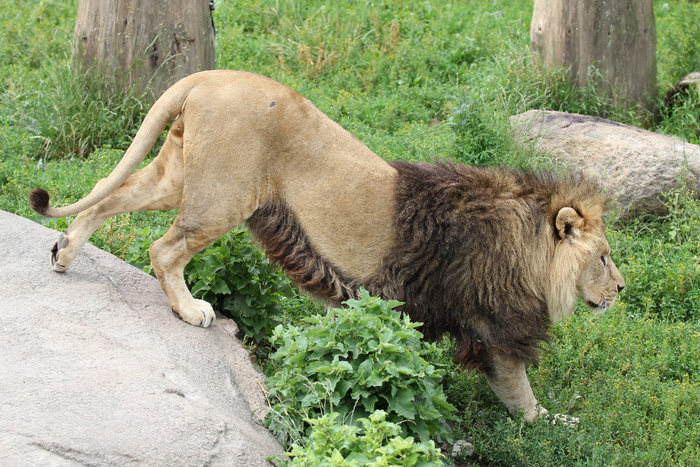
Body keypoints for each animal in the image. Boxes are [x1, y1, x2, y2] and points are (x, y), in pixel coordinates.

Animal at [30, 70, 628, 424]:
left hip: (181, 178)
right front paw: (554, 427)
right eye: (602, 258)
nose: (622, 288)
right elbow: (521, 394)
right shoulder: (495, 327)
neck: (528, 245)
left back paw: (65, 252)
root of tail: (208, 76)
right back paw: (190, 310)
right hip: (222, 197)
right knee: (163, 250)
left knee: (107, 196)